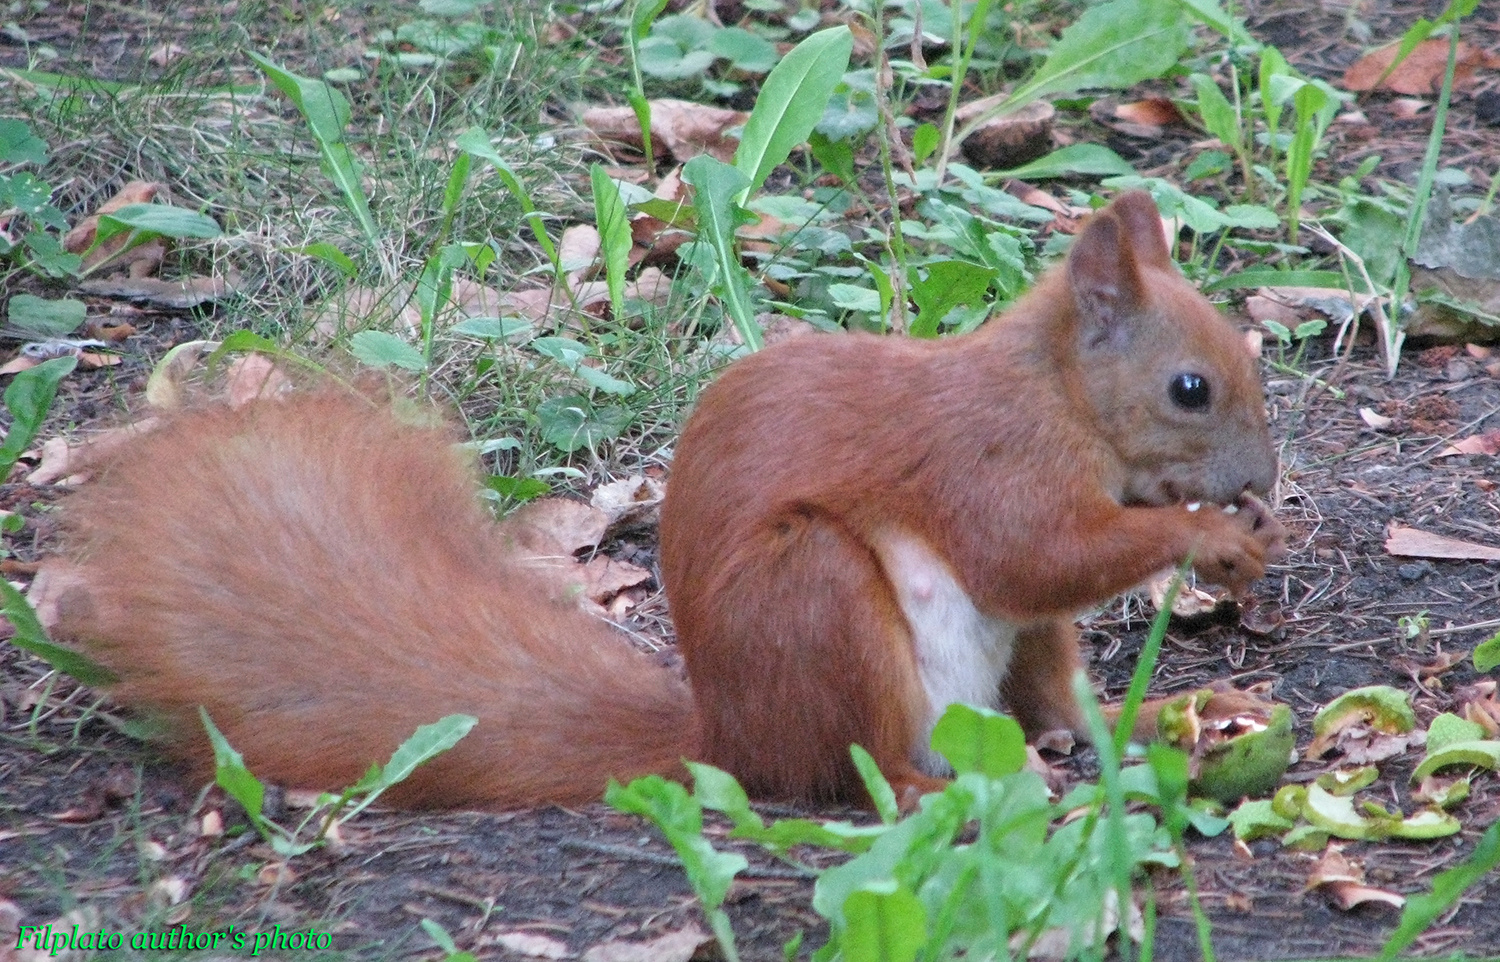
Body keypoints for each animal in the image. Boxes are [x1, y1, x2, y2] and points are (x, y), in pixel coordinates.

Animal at [52, 190, 1284, 810]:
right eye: (1190, 387)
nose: (1261, 484)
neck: (1061, 395)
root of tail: (727, 736)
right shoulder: (989, 463)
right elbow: (1029, 555)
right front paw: (1202, 537)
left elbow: (1047, 584)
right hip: (815, 600)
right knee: (857, 766)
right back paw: (942, 782)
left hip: (996, 654)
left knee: (1053, 696)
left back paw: (1149, 726)